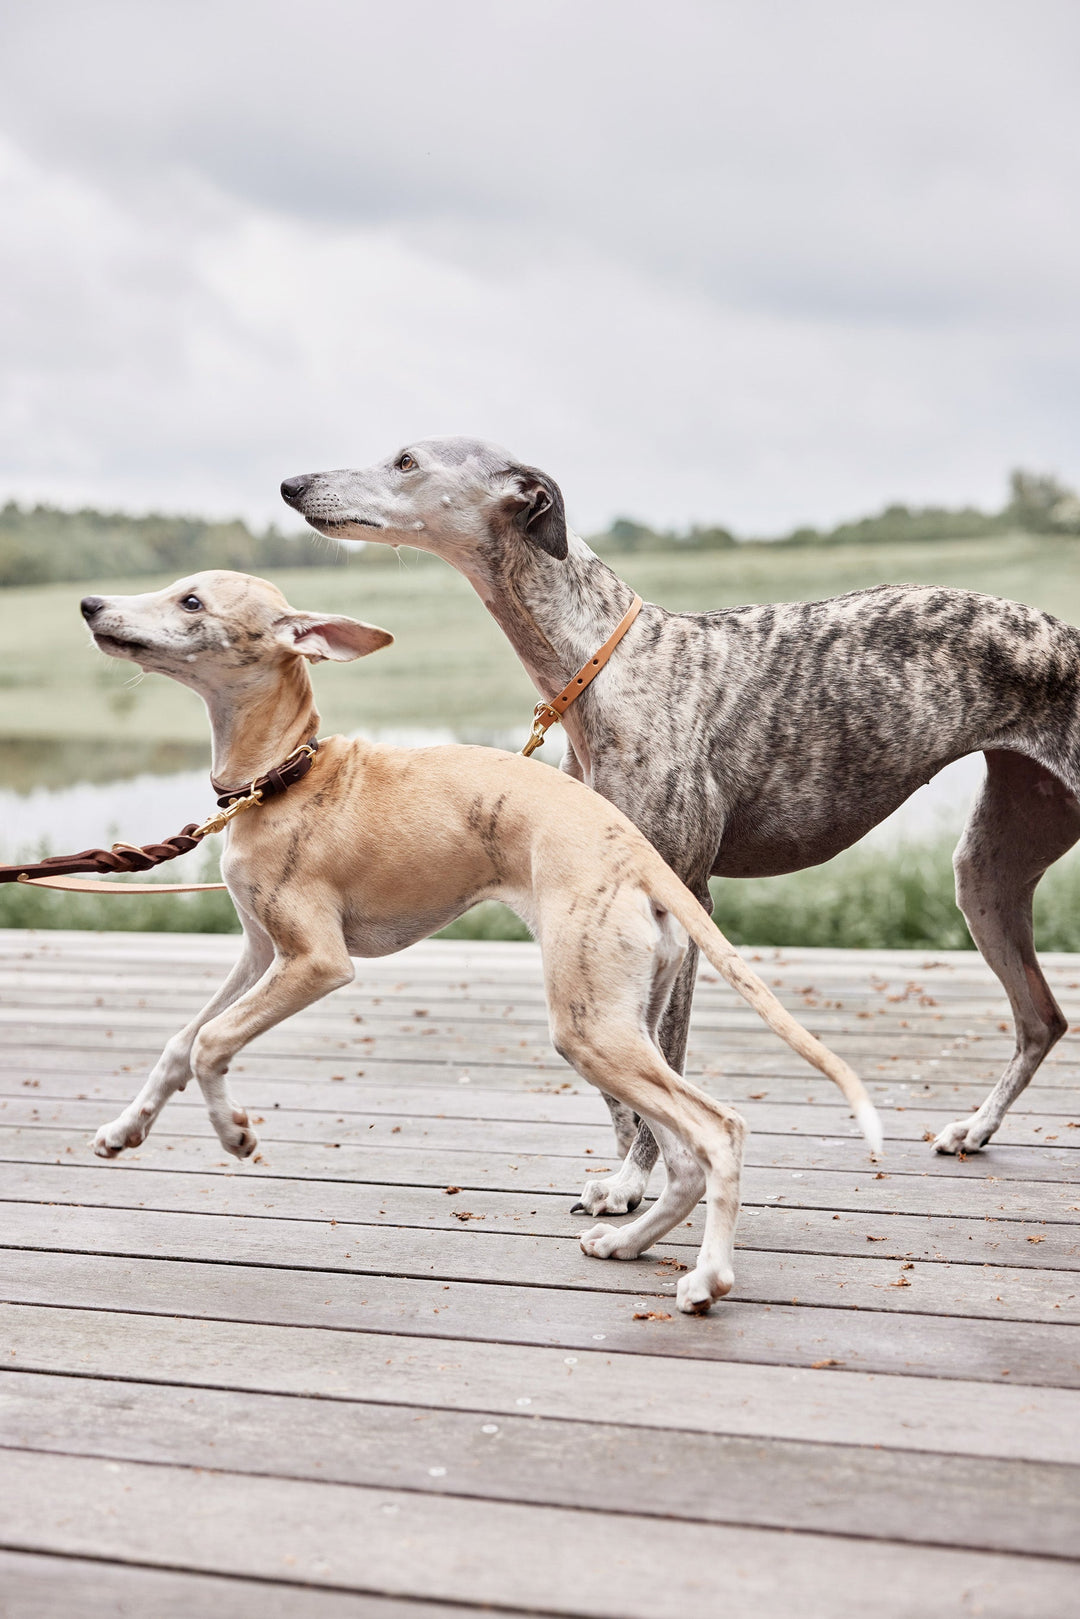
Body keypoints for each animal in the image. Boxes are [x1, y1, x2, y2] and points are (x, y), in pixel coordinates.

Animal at [84, 569, 880, 1314]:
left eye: (191, 601)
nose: (91, 605)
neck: (285, 774)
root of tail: (634, 850)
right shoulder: (258, 950)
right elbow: (181, 1042)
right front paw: (124, 1130)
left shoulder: (315, 961)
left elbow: (213, 1041)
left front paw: (234, 1133)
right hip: (628, 1020)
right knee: (683, 1156)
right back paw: (624, 1242)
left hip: (591, 1028)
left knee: (719, 1131)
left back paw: (707, 1278)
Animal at [284, 437, 1080, 1211]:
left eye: (407, 461)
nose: (292, 485)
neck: (599, 664)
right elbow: (622, 1070)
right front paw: (629, 1175)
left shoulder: (684, 896)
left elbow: (665, 1054)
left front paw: (641, 1181)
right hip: (987, 870)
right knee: (1042, 1016)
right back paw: (974, 1128)